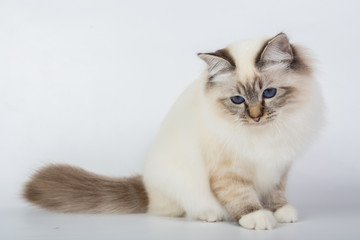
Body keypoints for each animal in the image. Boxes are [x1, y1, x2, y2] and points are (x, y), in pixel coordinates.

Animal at [24, 33, 324, 231]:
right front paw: (256, 217)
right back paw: (210, 215)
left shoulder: (277, 166)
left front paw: (281, 212)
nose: (255, 117)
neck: (263, 135)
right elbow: (241, 196)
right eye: (237, 100)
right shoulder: (227, 169)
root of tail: (147, 186)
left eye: (269, 94)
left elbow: (275, 194)